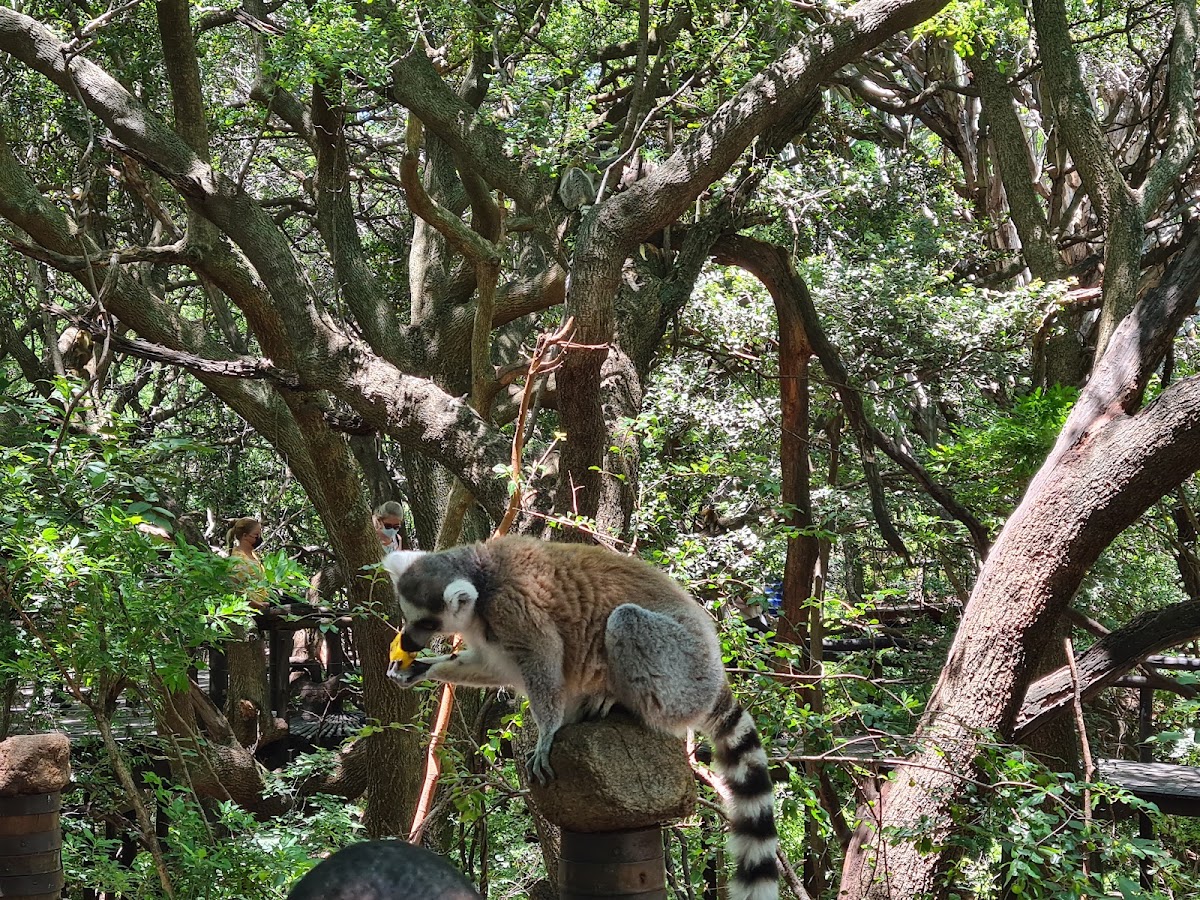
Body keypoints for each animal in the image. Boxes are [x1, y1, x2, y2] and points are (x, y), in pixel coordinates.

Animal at [382, 536, 778, 900]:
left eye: (428, 621)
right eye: (409, 616)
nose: (410, 643)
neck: (483, 575)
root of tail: (715, 677)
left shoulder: (513, 609)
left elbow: (543, 657)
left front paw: (545, 736)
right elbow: (496, 666)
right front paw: (419, 670)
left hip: (682, 673)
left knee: (627, 621)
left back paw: (620, 703)